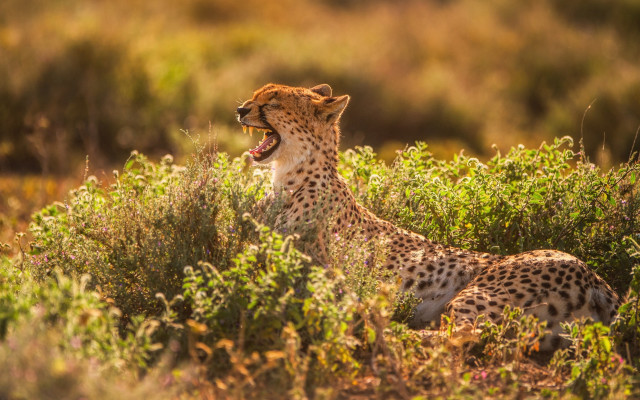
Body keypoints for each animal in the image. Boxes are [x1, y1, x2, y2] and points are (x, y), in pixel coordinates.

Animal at [236, 83, 620, 349]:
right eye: (254, 96)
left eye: (272, 102)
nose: (240, 109)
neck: (293, 175)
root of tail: (594, 277)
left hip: (479, 294)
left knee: (465, 335)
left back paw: (392, 330)